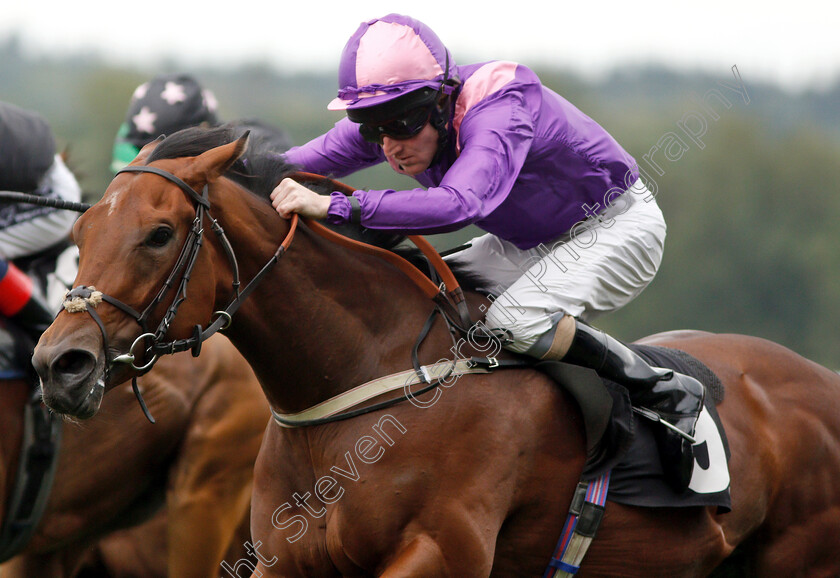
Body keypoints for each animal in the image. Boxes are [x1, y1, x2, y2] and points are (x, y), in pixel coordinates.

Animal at [29, 128, 840, 572]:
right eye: (81, 232)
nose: (58, 364)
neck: (372, 376)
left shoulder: (439, 551)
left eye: (159, 233)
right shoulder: (288, 560)